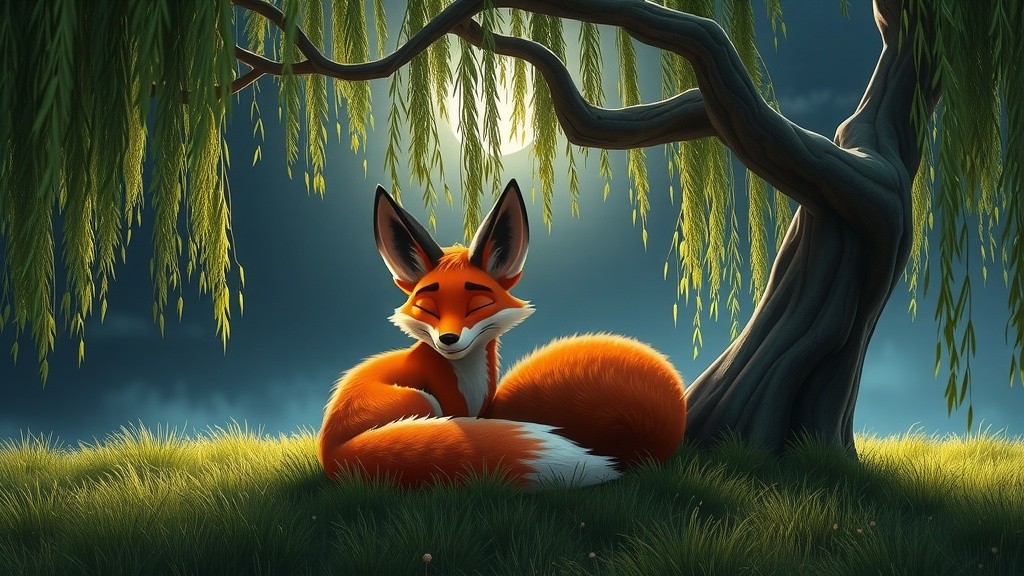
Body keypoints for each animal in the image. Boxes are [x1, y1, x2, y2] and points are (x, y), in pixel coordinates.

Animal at [318, 179, 687, 489]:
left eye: (478, 305)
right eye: (428, 308)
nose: (447, 339)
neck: (469, 379)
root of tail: (329, 451)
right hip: (422, 400)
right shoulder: (453, 406)